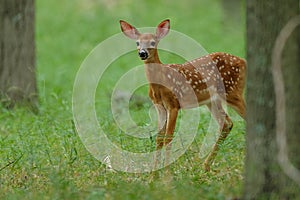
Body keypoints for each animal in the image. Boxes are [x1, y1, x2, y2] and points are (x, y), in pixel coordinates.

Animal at [119, 19, 246, 171]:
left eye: (153, 42)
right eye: (137, 43)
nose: (142, 53)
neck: (160, 83)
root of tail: (243, 61)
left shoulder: (173, 104)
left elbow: (168, 138)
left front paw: (166, 173)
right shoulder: (159, 106)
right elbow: (159, 138)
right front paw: (154, 173)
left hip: (232, 91)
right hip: (212, 101)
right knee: (226, 123)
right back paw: (205, 166)